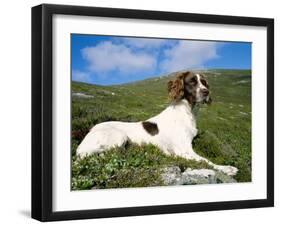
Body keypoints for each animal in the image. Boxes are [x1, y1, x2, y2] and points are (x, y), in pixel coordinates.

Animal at [77, 71, 238, 177]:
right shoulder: (183, 150)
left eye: (204, 82)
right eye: (192, 82)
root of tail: (90, 130)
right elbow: (206, 160)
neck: (187, 112)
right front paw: (227, 168)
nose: (206, 92)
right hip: (118, 136)